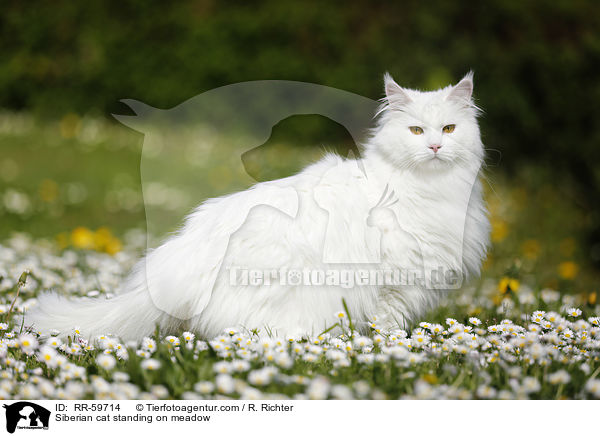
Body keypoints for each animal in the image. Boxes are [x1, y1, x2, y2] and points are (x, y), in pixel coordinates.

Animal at [25, 73, 490, 342]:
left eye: (449, 129)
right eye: (416, 131)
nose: (435, 146)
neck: (427, 190)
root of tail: (181, 260)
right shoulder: (394, 283)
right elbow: (388, 326)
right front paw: (395, 351)